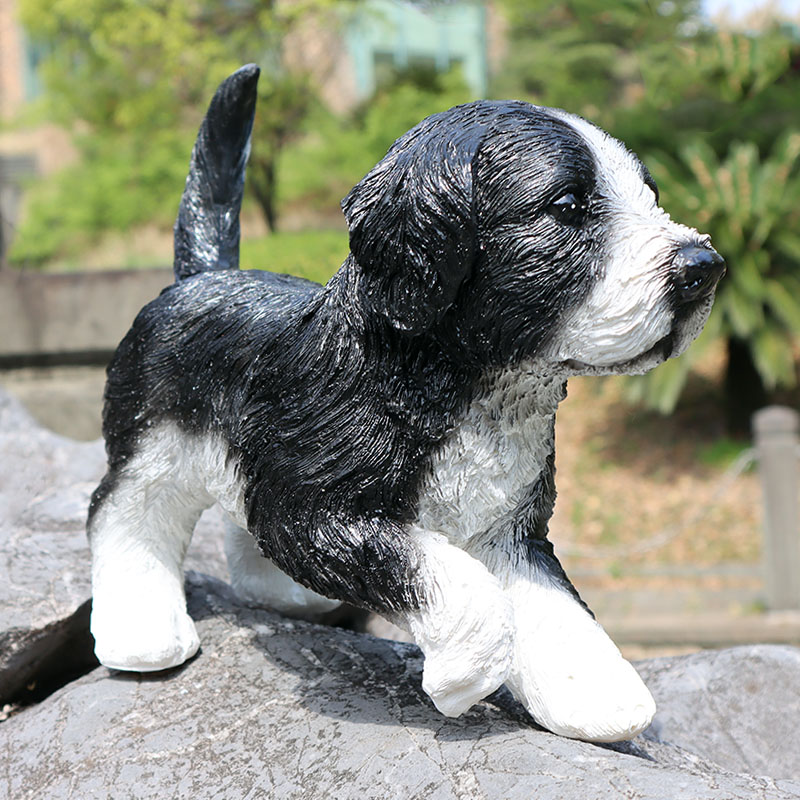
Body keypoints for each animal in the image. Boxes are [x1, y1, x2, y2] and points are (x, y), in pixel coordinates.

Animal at [87, 64, 724, 744]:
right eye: (569, 206)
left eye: (650, 195)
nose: (705, 266)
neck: (466, 389)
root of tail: (199, 277)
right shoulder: (313, 509)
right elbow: (456, 585)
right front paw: (465, 677)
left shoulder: (507, 525)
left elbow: (551, 602)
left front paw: (595, 692)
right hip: (154, 442)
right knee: (124, 513)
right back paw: (141, 633)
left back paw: (283, 595)